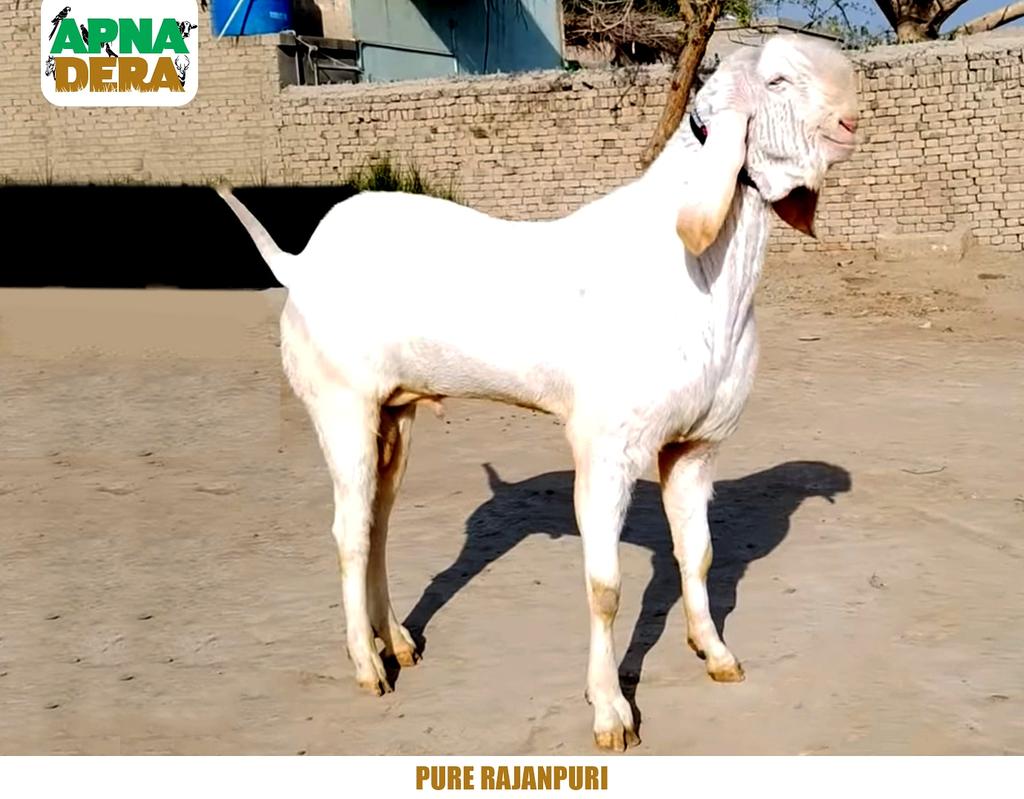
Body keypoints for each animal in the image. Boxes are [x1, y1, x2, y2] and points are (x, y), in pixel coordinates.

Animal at [217, 34, 859, 751]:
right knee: (350, 528)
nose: (851, 118)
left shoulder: (695, 445)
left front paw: (715, 652)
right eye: (777, 81)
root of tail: (299, 263)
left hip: (395, 411)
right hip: (340, 400)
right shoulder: (607, 447)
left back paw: (400, 642)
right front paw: (610, 711)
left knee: (379, 518)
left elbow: (699, 554)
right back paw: (367, 664)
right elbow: (606, 586)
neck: (696, 270)